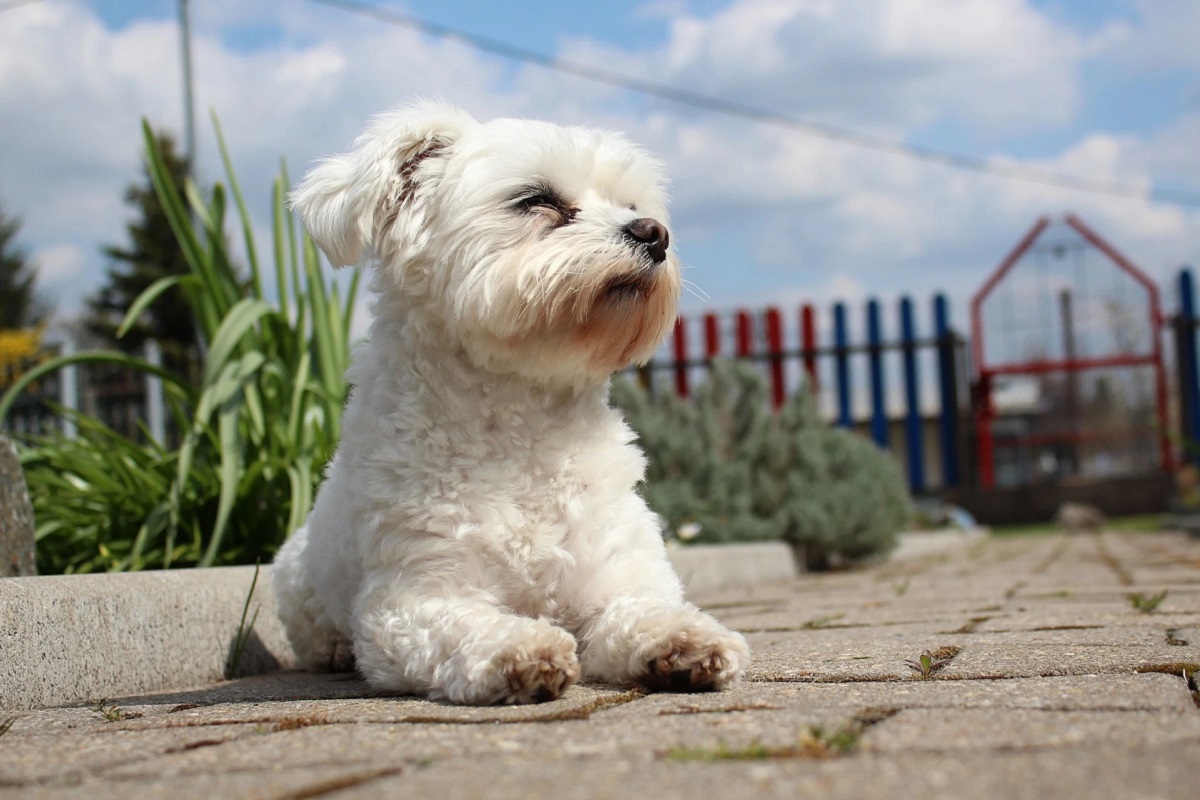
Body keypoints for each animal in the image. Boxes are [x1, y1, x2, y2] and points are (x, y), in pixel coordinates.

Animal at [274, 101, 748, 705]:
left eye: (633, 206)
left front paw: (683, 637)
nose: (654, 233)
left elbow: (639, 609)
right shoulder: (412, 599)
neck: (525, 426)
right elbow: (463, 625)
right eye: (536, 200)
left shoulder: (614, 570)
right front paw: (519, 647)